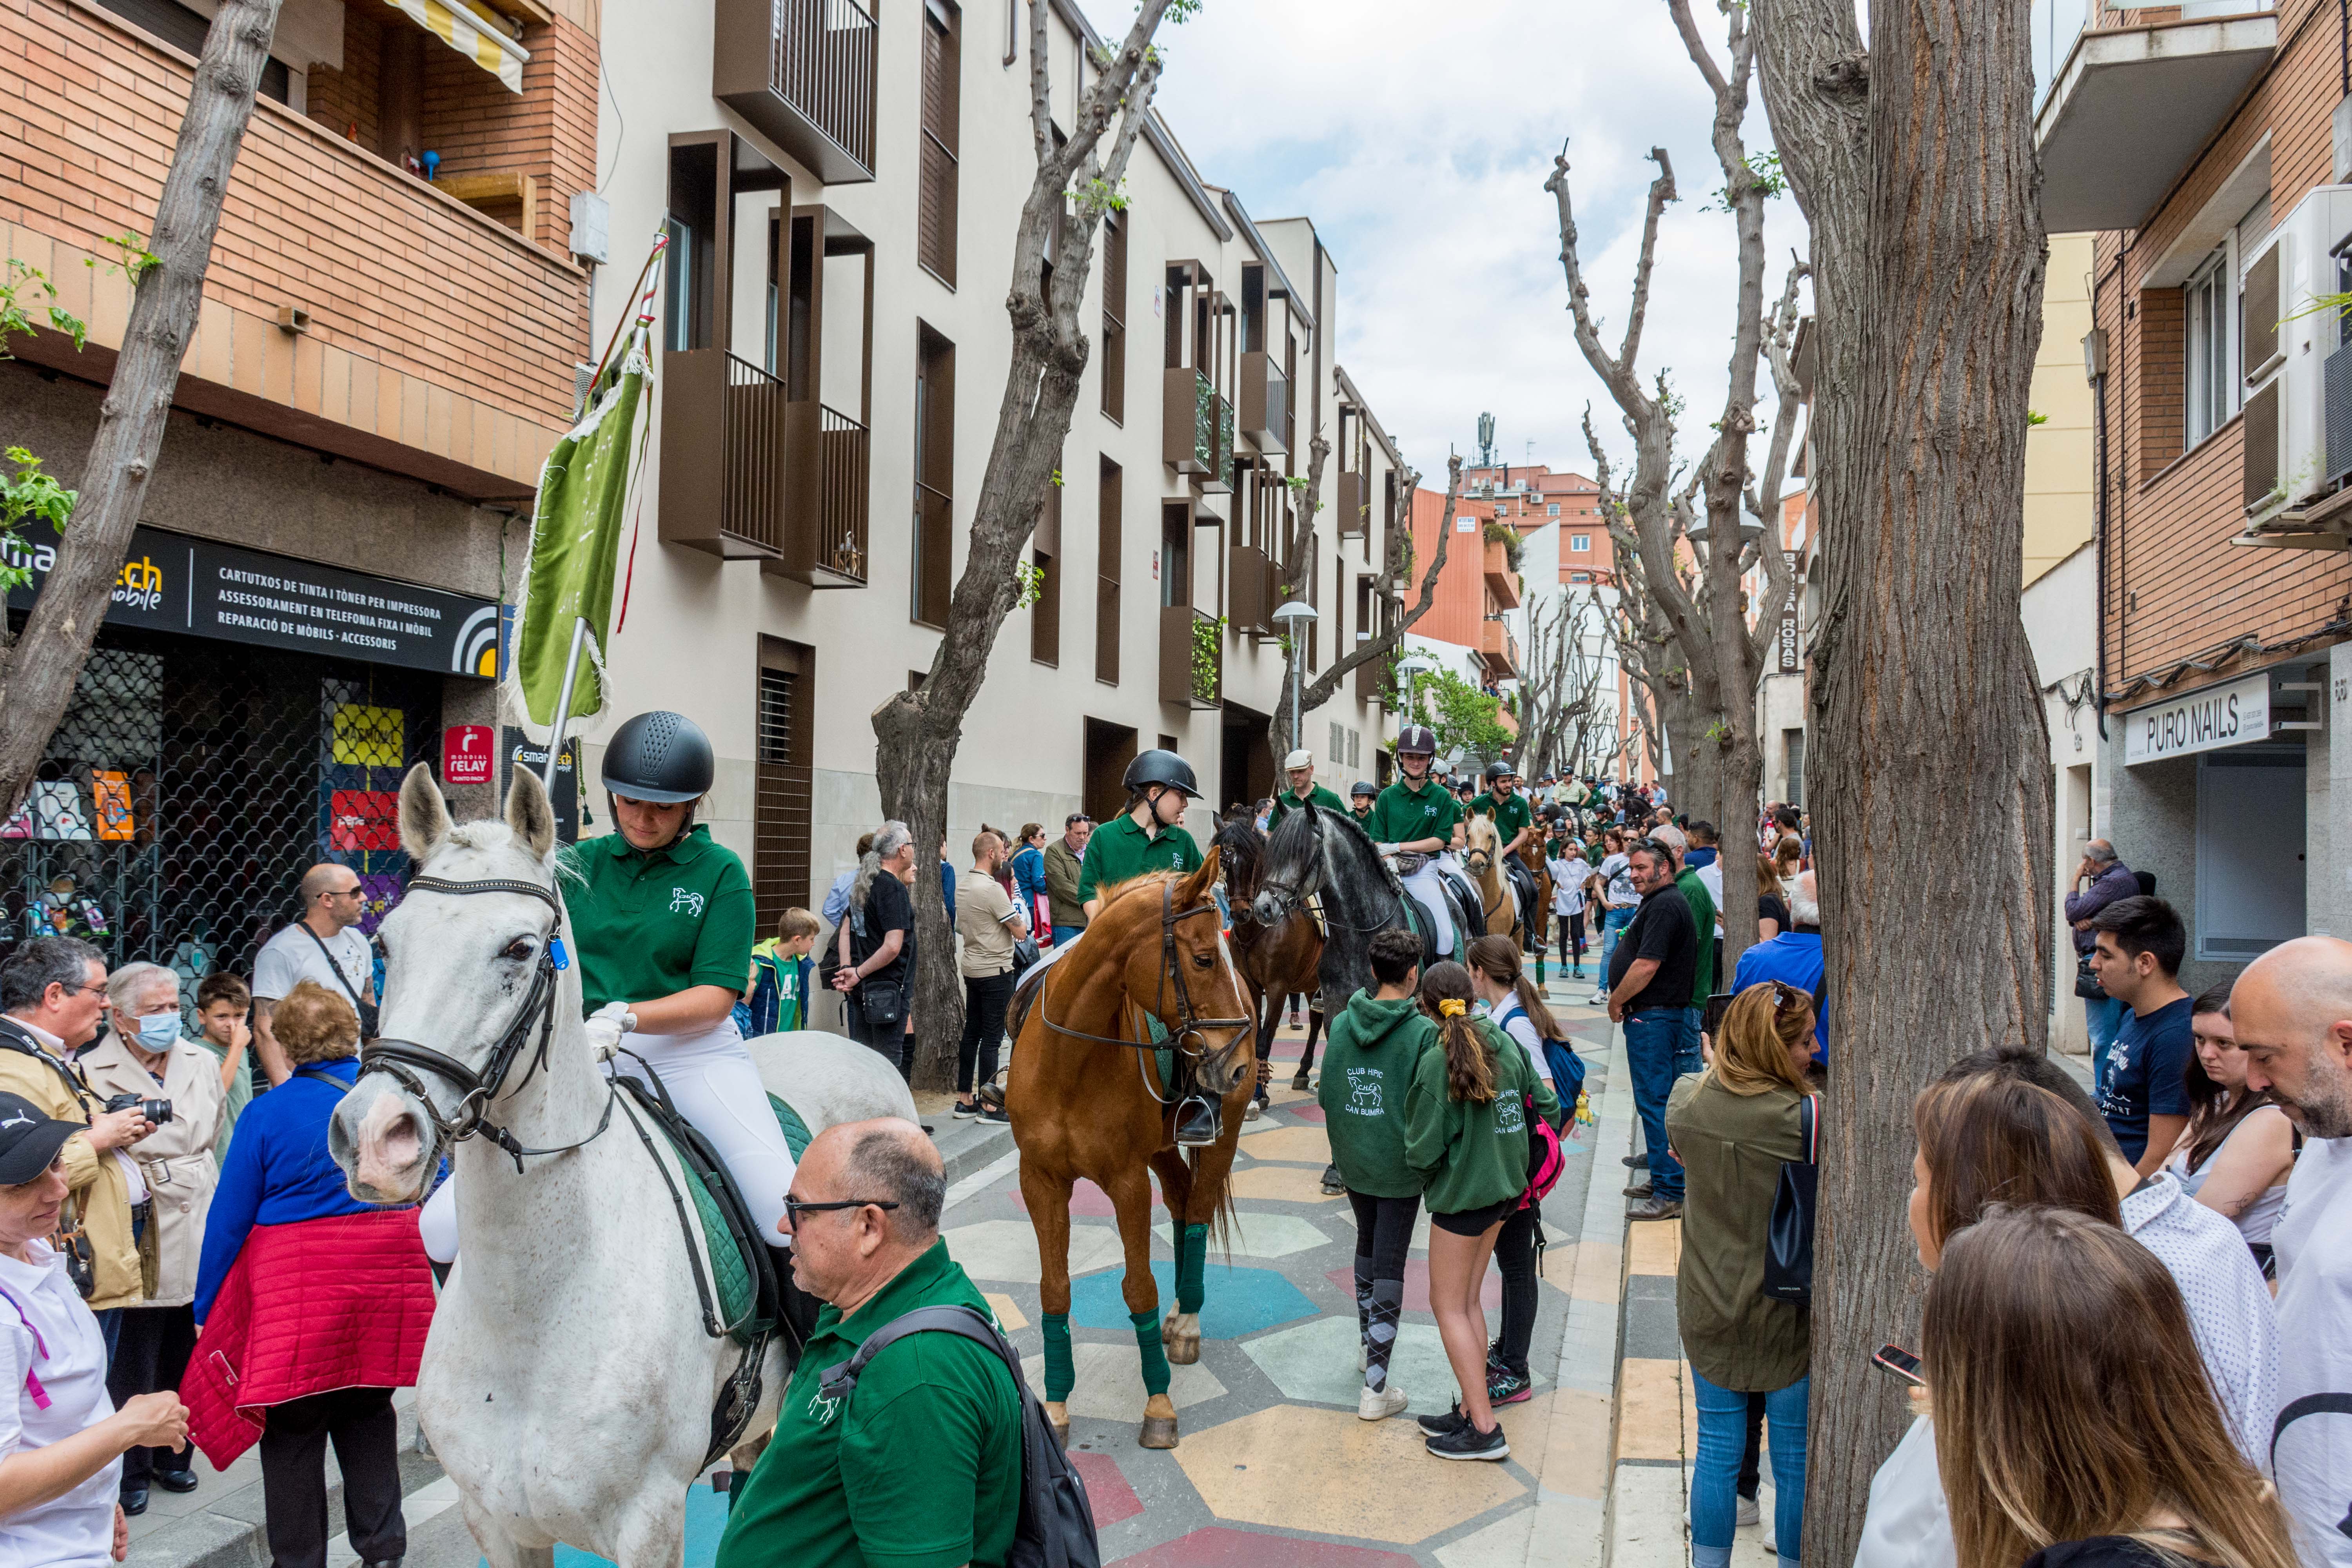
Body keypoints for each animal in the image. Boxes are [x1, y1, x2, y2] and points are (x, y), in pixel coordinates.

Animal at [327, 766, 913, 1568]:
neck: (532, 1316)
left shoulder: (648, 1523)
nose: (375, 1135)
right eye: (387, 942)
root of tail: (857, 1050)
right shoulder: (498, 1526)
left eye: (519, 949)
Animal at [1002, 851, 1261, 1457]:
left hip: (1222, 1135)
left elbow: (1139, 1287)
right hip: (1161, 1148)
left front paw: (1159, 1405)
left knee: (1200, 1207)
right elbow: (1054, 1289)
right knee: (1184, 1199)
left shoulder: (1125, 1181)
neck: (1069, 1058)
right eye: (1203, 958)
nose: (1237, 1064)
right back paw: (1180, 1312)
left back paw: (1187, 1322)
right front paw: (1057, 1405)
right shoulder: (1040, 1180)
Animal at [1214, 822, 1327, 1091]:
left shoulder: (1278, 987)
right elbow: (1255, 1035)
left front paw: (1259, 1091)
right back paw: (1303, 1070)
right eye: (1225, 864)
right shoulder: (1252, 986)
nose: (1241, 912)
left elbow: (1265, 1039)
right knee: (1317, 1020)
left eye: (1253, 861)